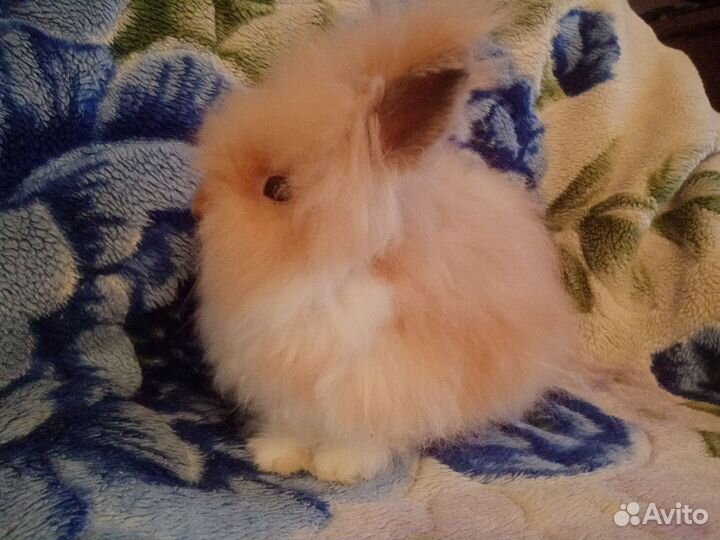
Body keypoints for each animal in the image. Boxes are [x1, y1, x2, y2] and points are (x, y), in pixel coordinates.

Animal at [192, 0, 577, 483]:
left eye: (276, 188)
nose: (198, 206)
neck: (326, 276)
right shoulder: (282, 380)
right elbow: (293, 423)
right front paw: (276, 456)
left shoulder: (384, 379)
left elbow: (359, 430)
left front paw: (340, 466)